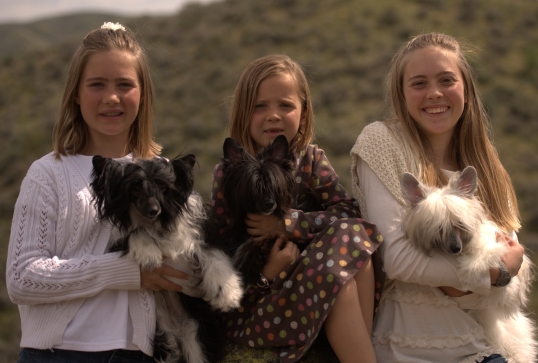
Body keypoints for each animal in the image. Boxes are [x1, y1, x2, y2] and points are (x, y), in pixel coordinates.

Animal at [91, 156, 242, 363]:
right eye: (135, 187)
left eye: (162, 186)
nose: (153, 210)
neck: (156, 224)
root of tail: (178, 327)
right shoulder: (118, 241)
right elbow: (136, 231)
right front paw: (149, 254)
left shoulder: (202, 235)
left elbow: (215, 257)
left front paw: (228, 295)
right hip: (164, 339)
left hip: (197, 334)